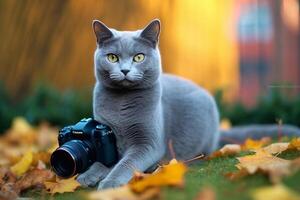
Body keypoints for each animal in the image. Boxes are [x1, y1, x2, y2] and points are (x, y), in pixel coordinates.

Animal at [77, 19, 300, 190]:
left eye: (138, 57)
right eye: (112, 57)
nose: (124, 70)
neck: (121, 104)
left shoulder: (148, 143)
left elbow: (127, 162)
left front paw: (110, 182)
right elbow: (104, 159)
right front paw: (88, 175)